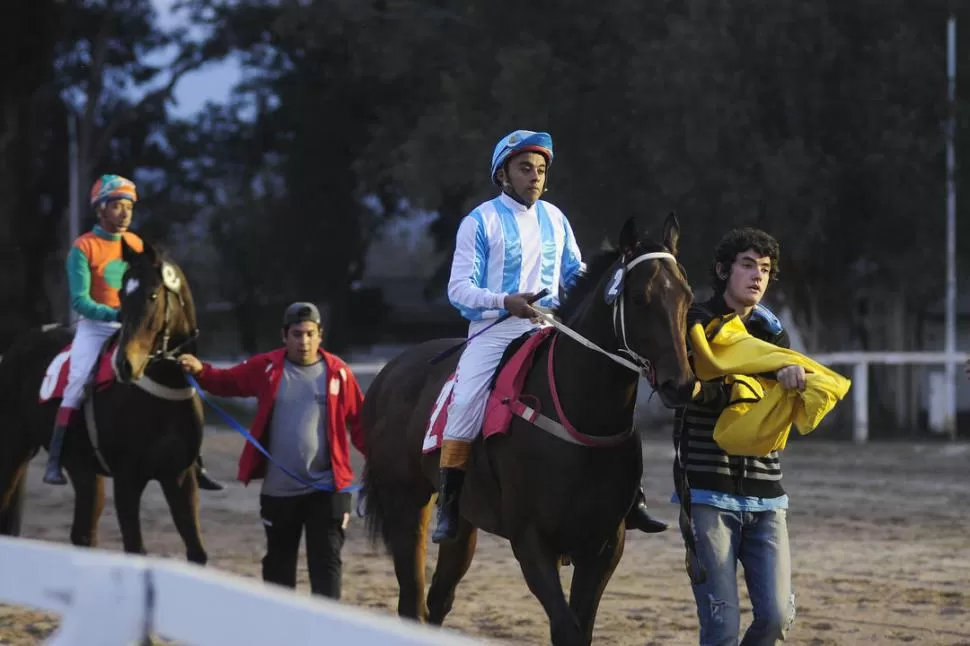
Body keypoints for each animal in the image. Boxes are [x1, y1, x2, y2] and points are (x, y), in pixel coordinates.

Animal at [0, 240, 210, 564]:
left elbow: (197, 552)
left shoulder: (180, 477)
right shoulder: (127, 479)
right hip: (12, 447)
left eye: (152, 295)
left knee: (83, 534)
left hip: (80, 466)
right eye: (123, 294)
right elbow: (135, 548)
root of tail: (16, 347)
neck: (163, 390)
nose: (126, 364)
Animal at [360, 215, 692, 644]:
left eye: (686, 297)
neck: (579, 420)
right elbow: (566, 628)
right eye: (639, 298)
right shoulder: (532, 541)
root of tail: (389, 371)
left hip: (463, 522)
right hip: (406, 505)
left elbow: (581, 627)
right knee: (411, 601)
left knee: (438, 600)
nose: (679, 385)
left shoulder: (604, 546)